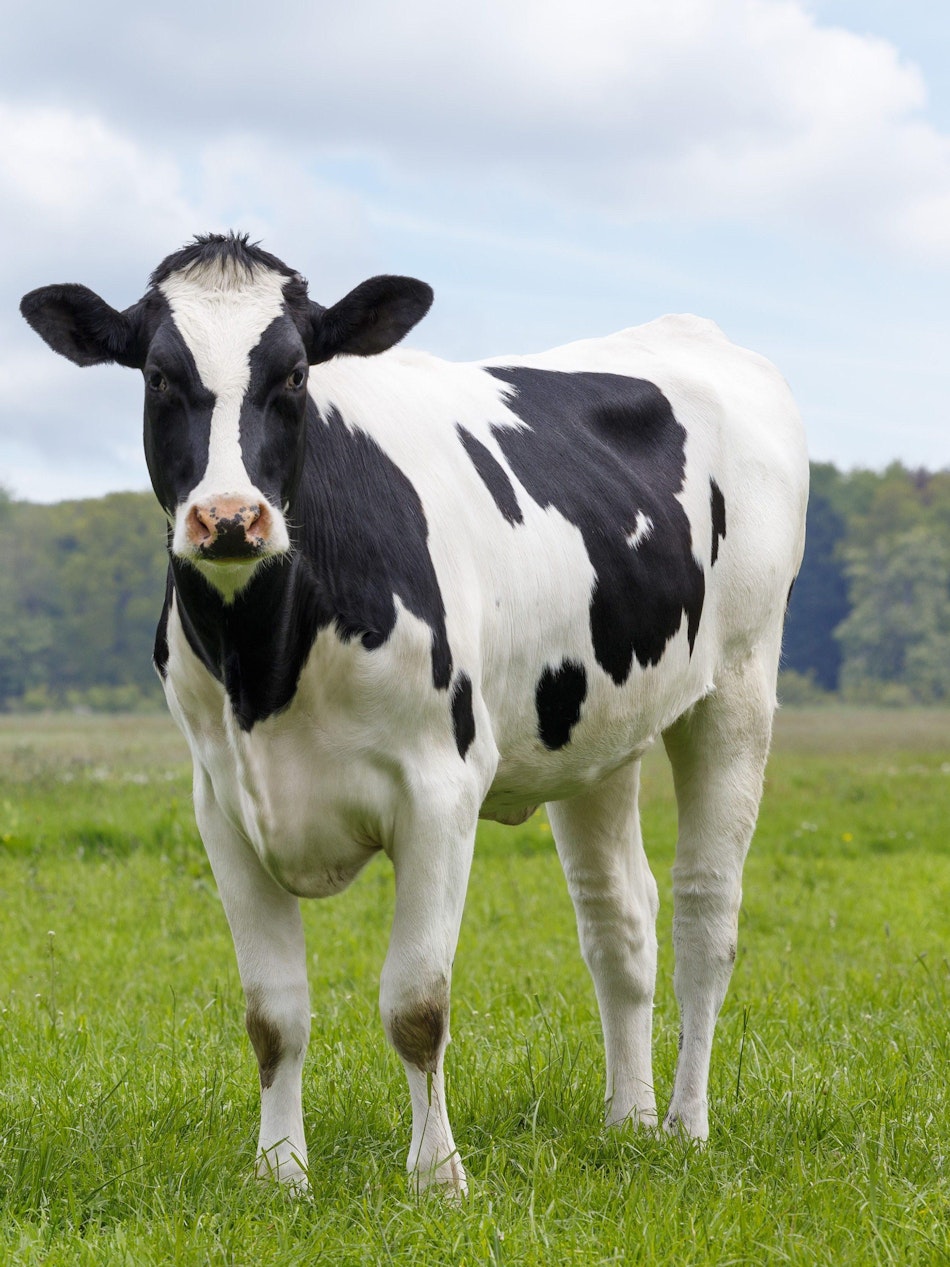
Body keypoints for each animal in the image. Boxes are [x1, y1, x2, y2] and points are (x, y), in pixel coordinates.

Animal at [21, 233, 808, 1194]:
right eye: (161, 376)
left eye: (294, 374)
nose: (230, 518)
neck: (266, 663)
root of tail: (692, 330)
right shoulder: (223, 806)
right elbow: (272, 1014)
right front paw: (281, 1174)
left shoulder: (441, 788)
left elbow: (417, 1003)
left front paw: (437, 1178)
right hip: (598, 728)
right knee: (618, 916)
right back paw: (628, 1122)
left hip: (739, 682)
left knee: (705, 910)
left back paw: (687, 1127)